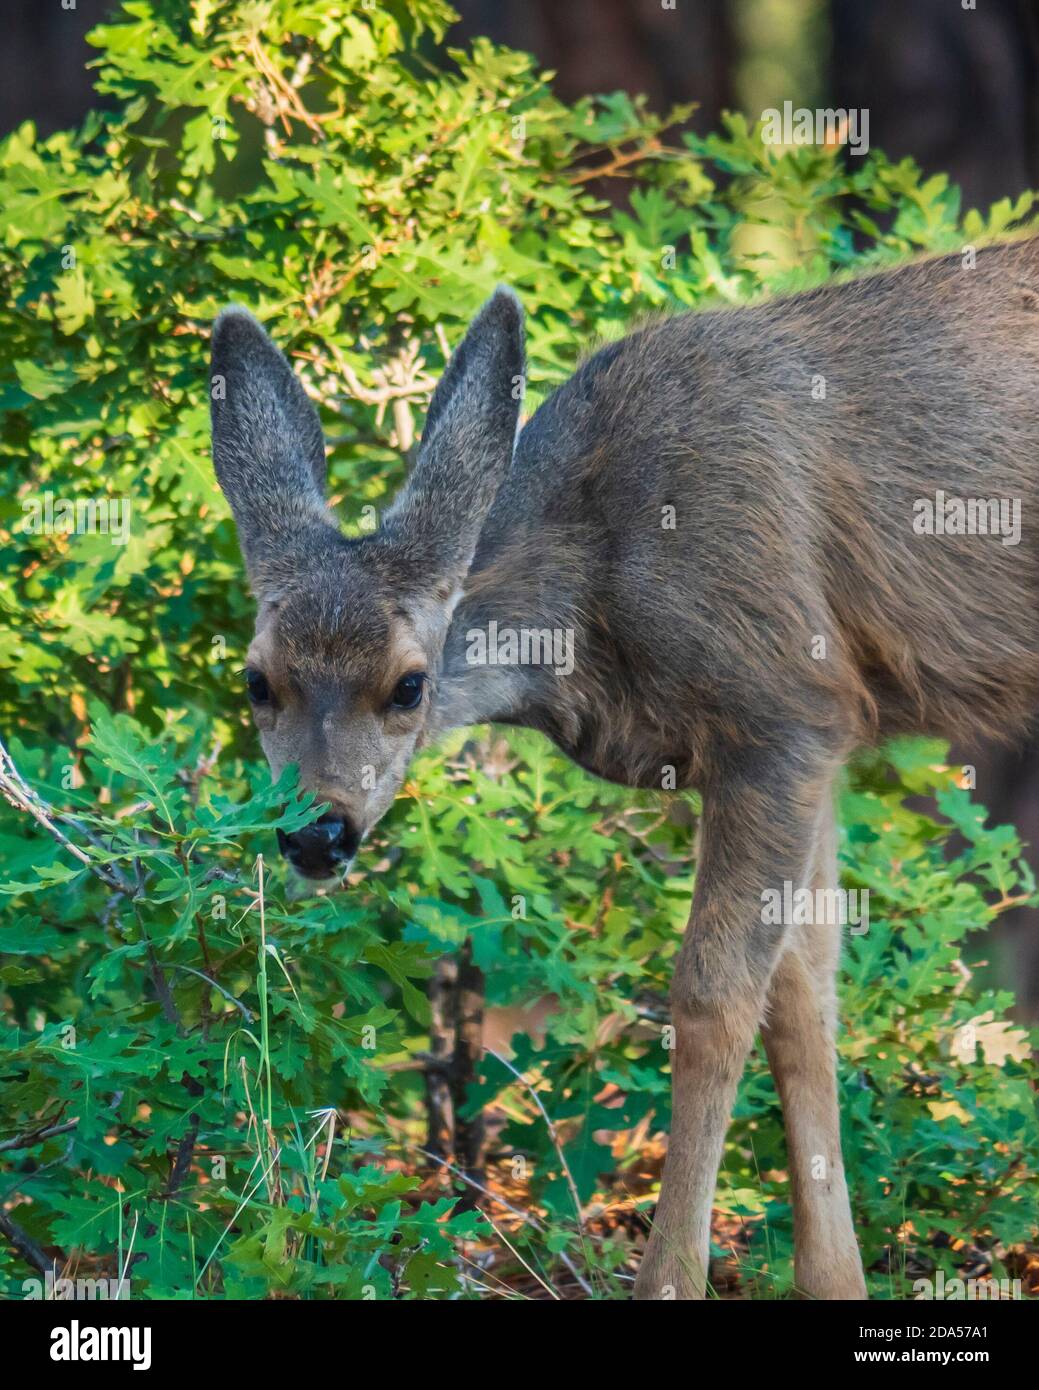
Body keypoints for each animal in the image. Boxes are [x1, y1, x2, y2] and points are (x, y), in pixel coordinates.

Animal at [210, 236, 1039, 1300]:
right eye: (256, 681)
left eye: (408, 685)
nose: (316, 832)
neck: (597, 602)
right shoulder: (821, 738)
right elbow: (804, 992)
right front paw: (834, 1279)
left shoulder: (781, 705)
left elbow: (714, 994)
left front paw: (671, 1278)